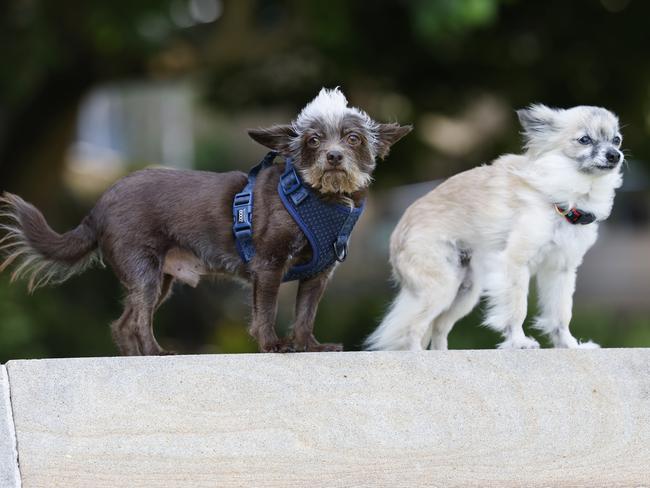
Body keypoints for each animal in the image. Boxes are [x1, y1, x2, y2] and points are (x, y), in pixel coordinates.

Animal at [0, 88, 408, 354]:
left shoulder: (317, 275)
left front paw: (310, 346)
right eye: (312, 140)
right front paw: (273, 345)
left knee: (123, 323)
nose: (334, 156)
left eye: (353, 138)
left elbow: (305, 314)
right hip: (144, 270)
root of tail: (98, 205)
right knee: (137, 319)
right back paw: (157, 353)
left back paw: (140, 359)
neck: (323, 198)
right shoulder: (268, 266)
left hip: (159, 279)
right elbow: (267, 311)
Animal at [364, 105, 624, 348]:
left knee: (438, 328)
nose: (615, 155)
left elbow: (560, 315)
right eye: (585, 140)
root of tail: (397, 234)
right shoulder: (516, 263)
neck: (566, 196)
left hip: (465, 292)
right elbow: (517, 308)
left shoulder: (560, 270)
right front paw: (519, 342)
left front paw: (569, 346)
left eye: (617, 140)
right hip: (440, 288)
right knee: (411, 330)